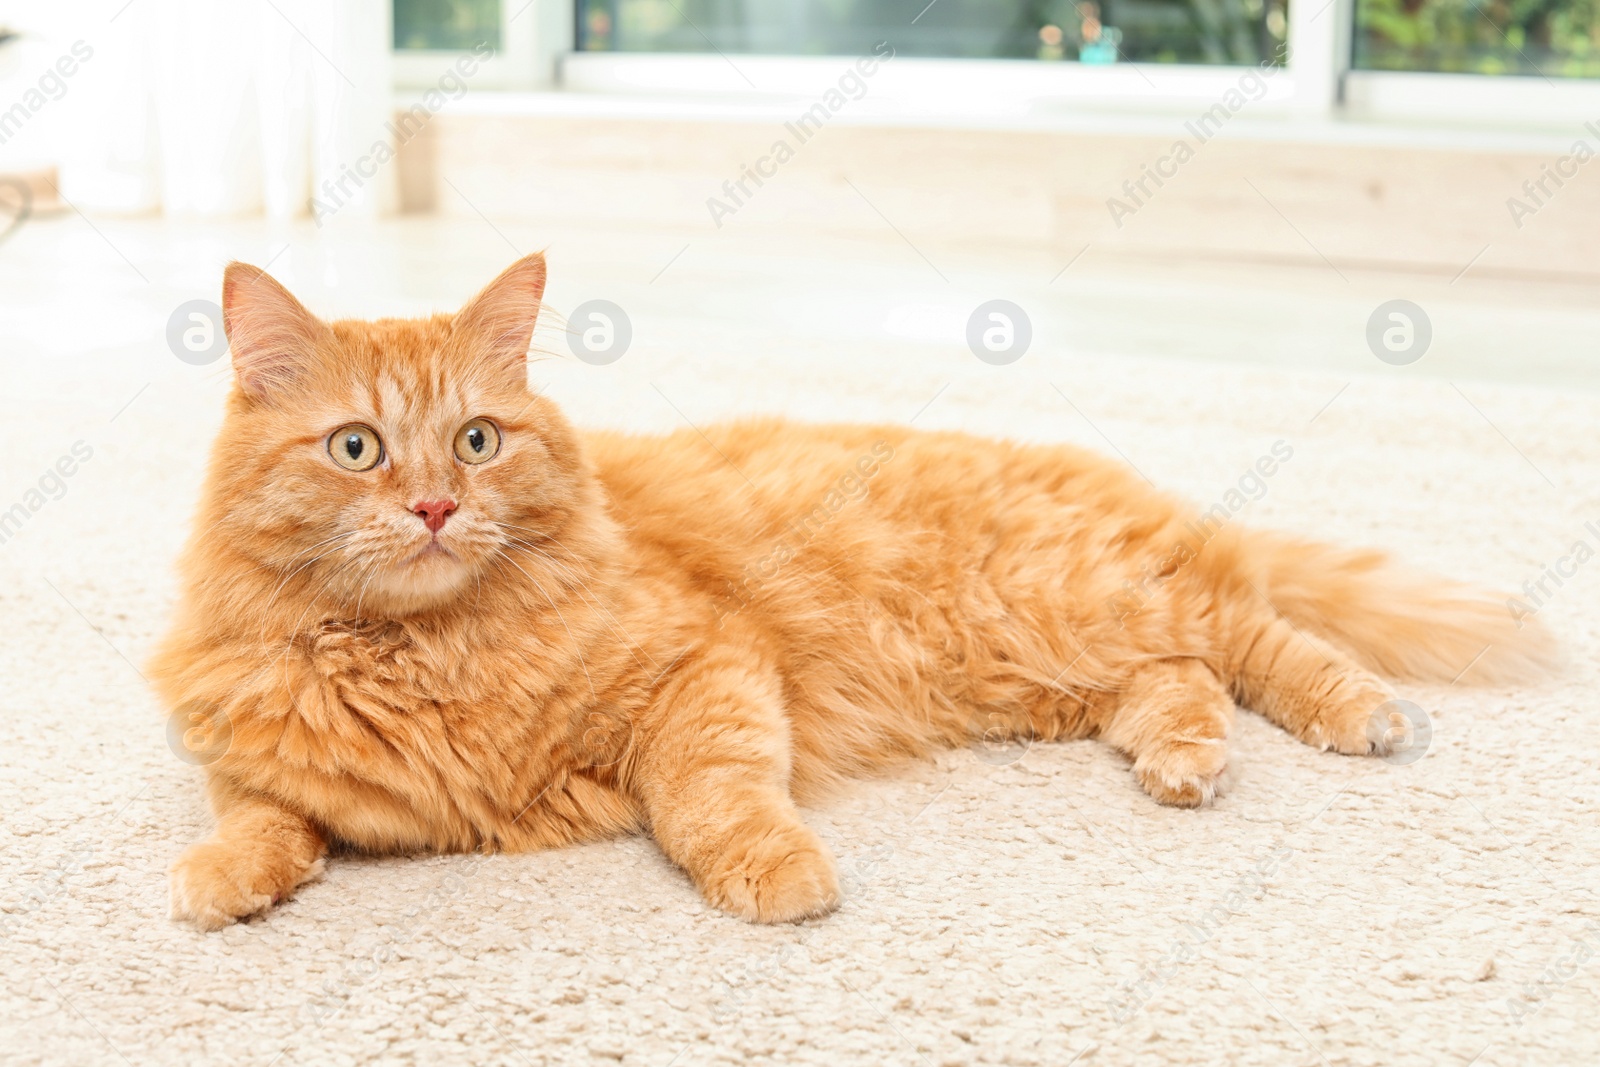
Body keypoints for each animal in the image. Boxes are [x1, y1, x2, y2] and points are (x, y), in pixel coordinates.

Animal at [150, 254, 1548, 927]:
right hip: (1048, 672)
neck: (437, 656)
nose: (437, 506)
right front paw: (220, 879)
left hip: (1084, 601)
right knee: (1181, 684)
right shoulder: (254, 750)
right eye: (357, 448)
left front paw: (778, 875)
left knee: (1258, 636)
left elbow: (709, 797)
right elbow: (261, 816)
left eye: (478, 441)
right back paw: (1184, 765)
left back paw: (1361, 715)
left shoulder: (707, 671)